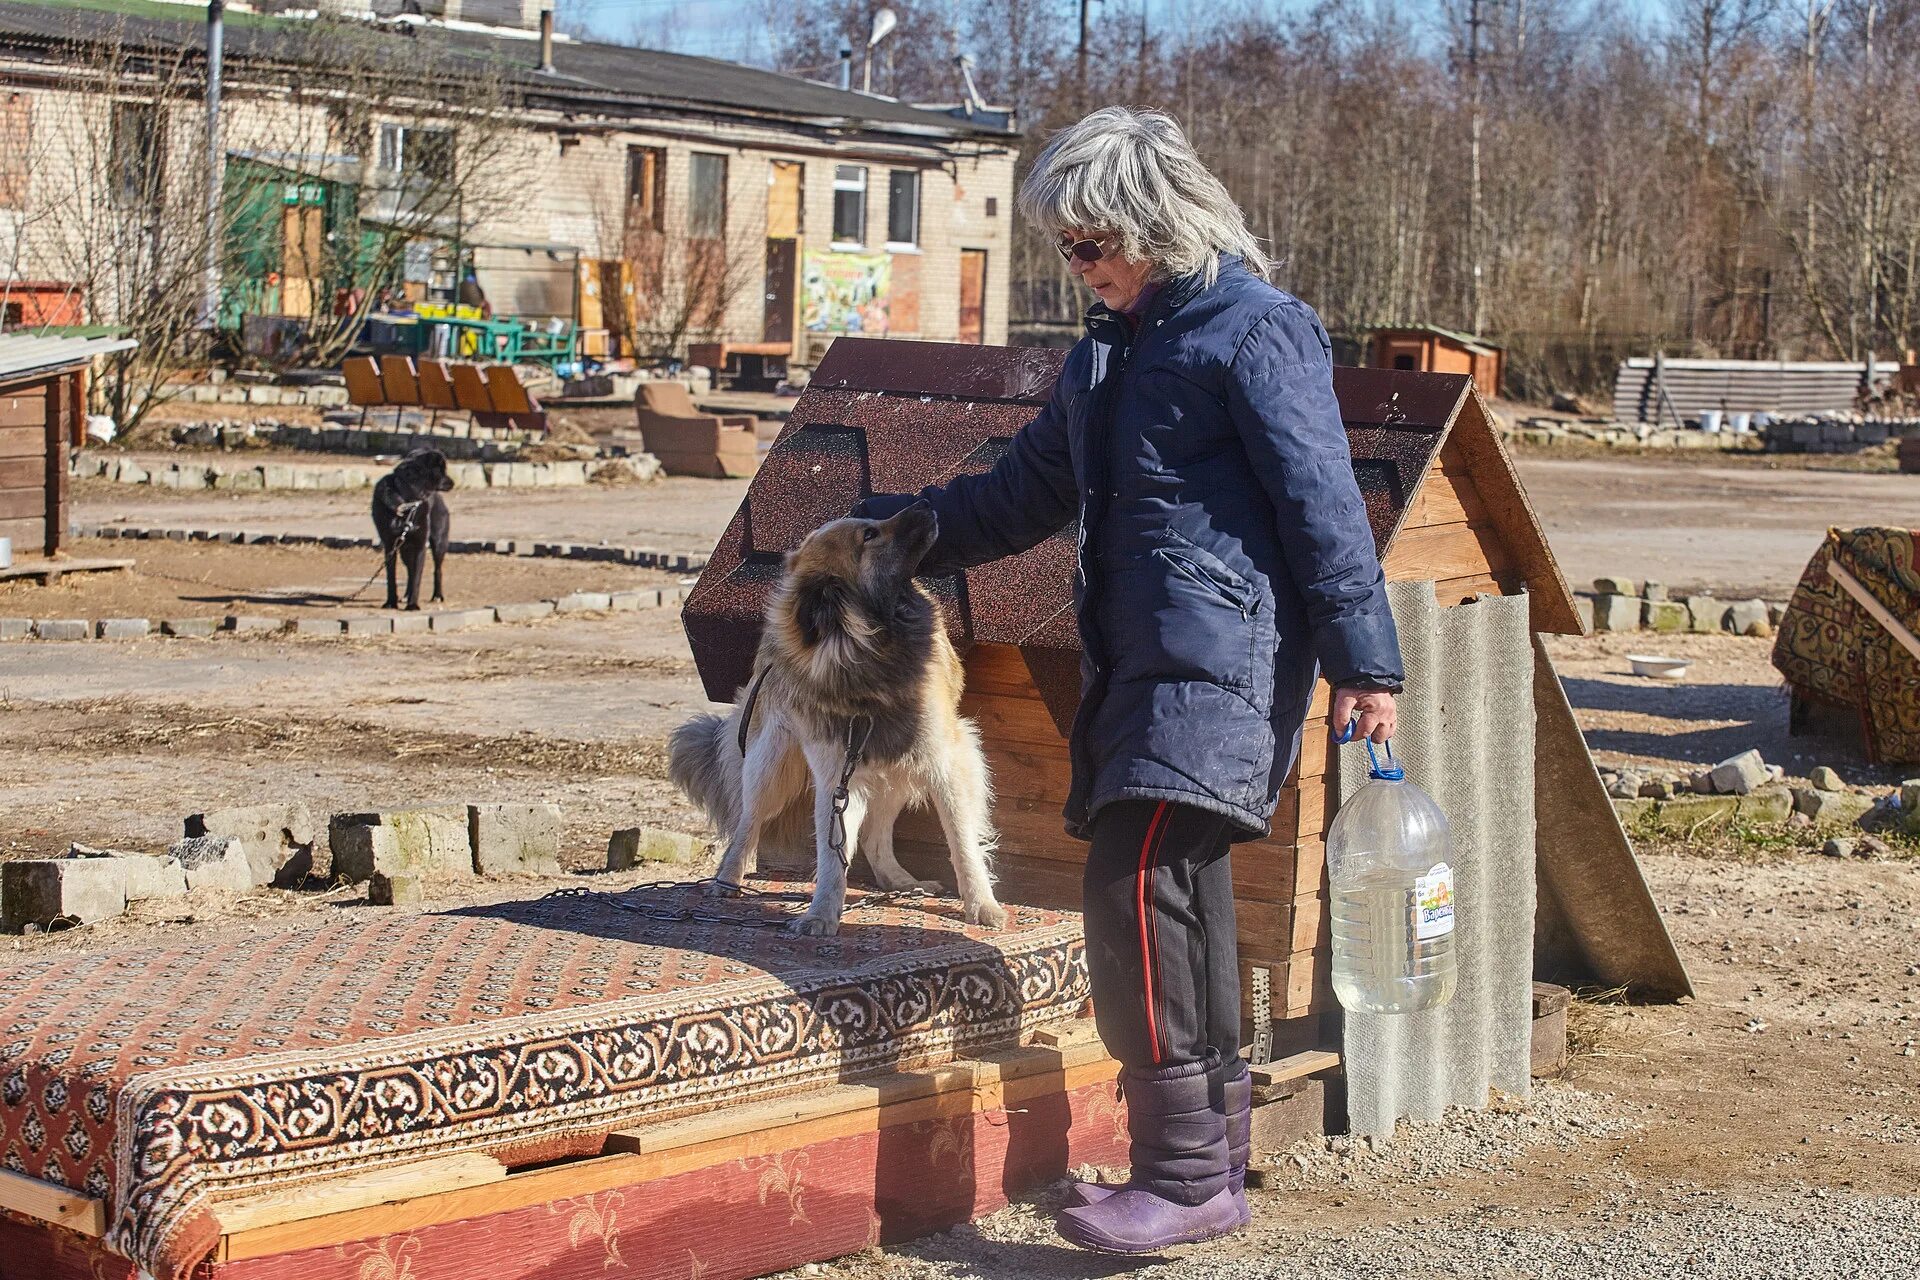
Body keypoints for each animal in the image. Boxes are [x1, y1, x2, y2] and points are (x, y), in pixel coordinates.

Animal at [372, 450, 455, 610]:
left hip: (439, 543)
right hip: (405, 550)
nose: (453, 483)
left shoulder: (420, 545)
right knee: (410, 571)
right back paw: (406, 595)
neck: (405, 502)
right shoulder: (390, 546)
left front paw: (413, 605)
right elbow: (391, 577)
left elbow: (417, 577)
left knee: (437, 570)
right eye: (441, 470)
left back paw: (437, 596)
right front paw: (391, 602)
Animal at [668, 506, 1006, 936]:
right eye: (869, 534)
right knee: (747, 822)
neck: (866, 657)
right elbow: (832, 856)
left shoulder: (945, 762)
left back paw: (900, 883)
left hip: (893, 770)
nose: (927, 505)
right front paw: (822, 912)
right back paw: (727, 880)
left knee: (876, 837)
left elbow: (962, 841)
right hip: (773, 765)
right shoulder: (835, 776)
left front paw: (982, 905)